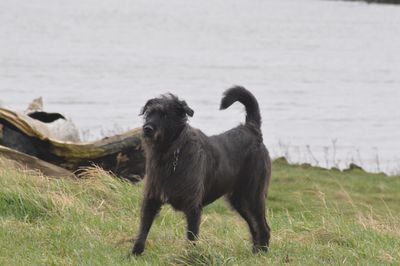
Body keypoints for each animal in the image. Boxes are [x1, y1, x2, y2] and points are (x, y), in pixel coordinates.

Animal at [131, 85, 272, 256]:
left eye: (165, 115)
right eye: (149, 114)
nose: (147, 129)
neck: (171, 153)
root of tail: (252, 129)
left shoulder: (193, 207)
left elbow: (191, 238)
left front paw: (189, 258)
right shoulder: (151, 200)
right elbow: (143, 229)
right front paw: (135, 253)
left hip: (253, 196)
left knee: (263, 227)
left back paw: (262, 253)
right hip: (239, 200)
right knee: (254, 225)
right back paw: (255, 252)